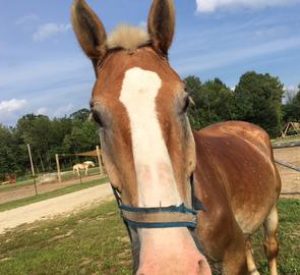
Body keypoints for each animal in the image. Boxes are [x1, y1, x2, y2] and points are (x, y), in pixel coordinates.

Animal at [71, 1, 282, 274]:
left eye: (185, 101)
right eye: (96, 116)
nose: (172, 265)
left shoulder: (232, 258)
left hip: (272, 210)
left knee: (270, 247)